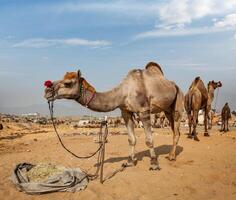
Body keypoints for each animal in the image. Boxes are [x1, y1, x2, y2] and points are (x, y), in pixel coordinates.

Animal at [44, 61, 184, 170]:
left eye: (68, 83)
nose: (47, 91)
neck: (124, 92)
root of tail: (174, 85)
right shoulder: (125, 112)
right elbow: (131, 139)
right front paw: (129, 162)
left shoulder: (143, 111)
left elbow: (149, 139)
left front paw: (154, 164)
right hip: (167, 109)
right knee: (174, 129)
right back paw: (170, 154)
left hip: (178, 100)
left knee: (176, 128)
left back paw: (172, 157)